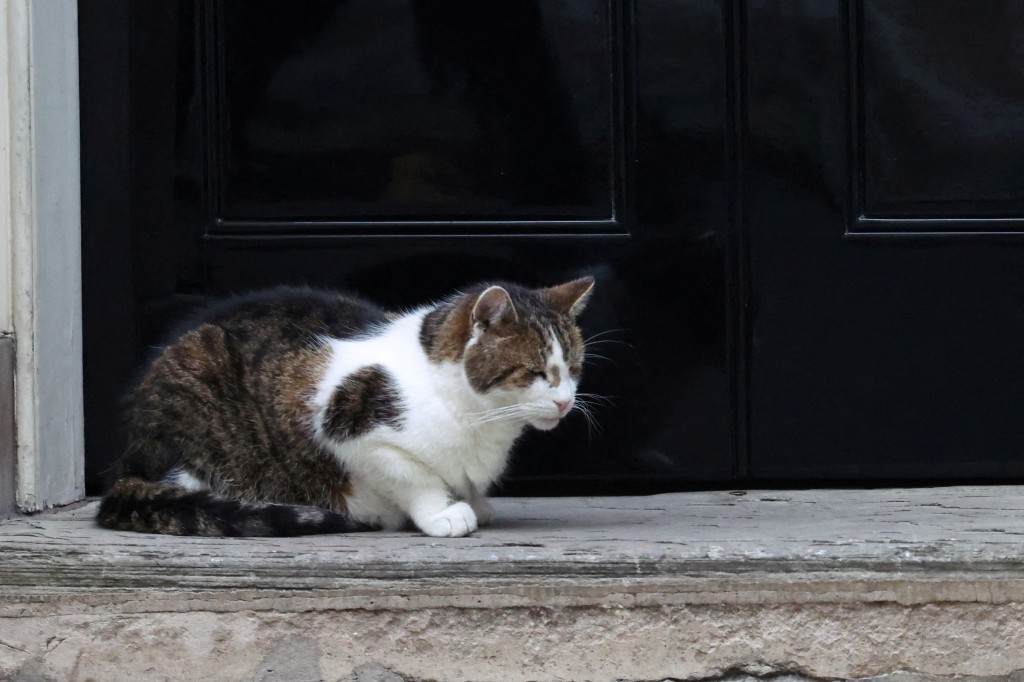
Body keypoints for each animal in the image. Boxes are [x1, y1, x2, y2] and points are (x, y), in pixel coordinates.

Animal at [97, 276, 593, 536]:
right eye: (534, 372)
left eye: (573, 368)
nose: (565, 401)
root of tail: (130, 456)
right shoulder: (350, 427)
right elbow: (413, 476)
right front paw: (443, 512)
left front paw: (473, 500)